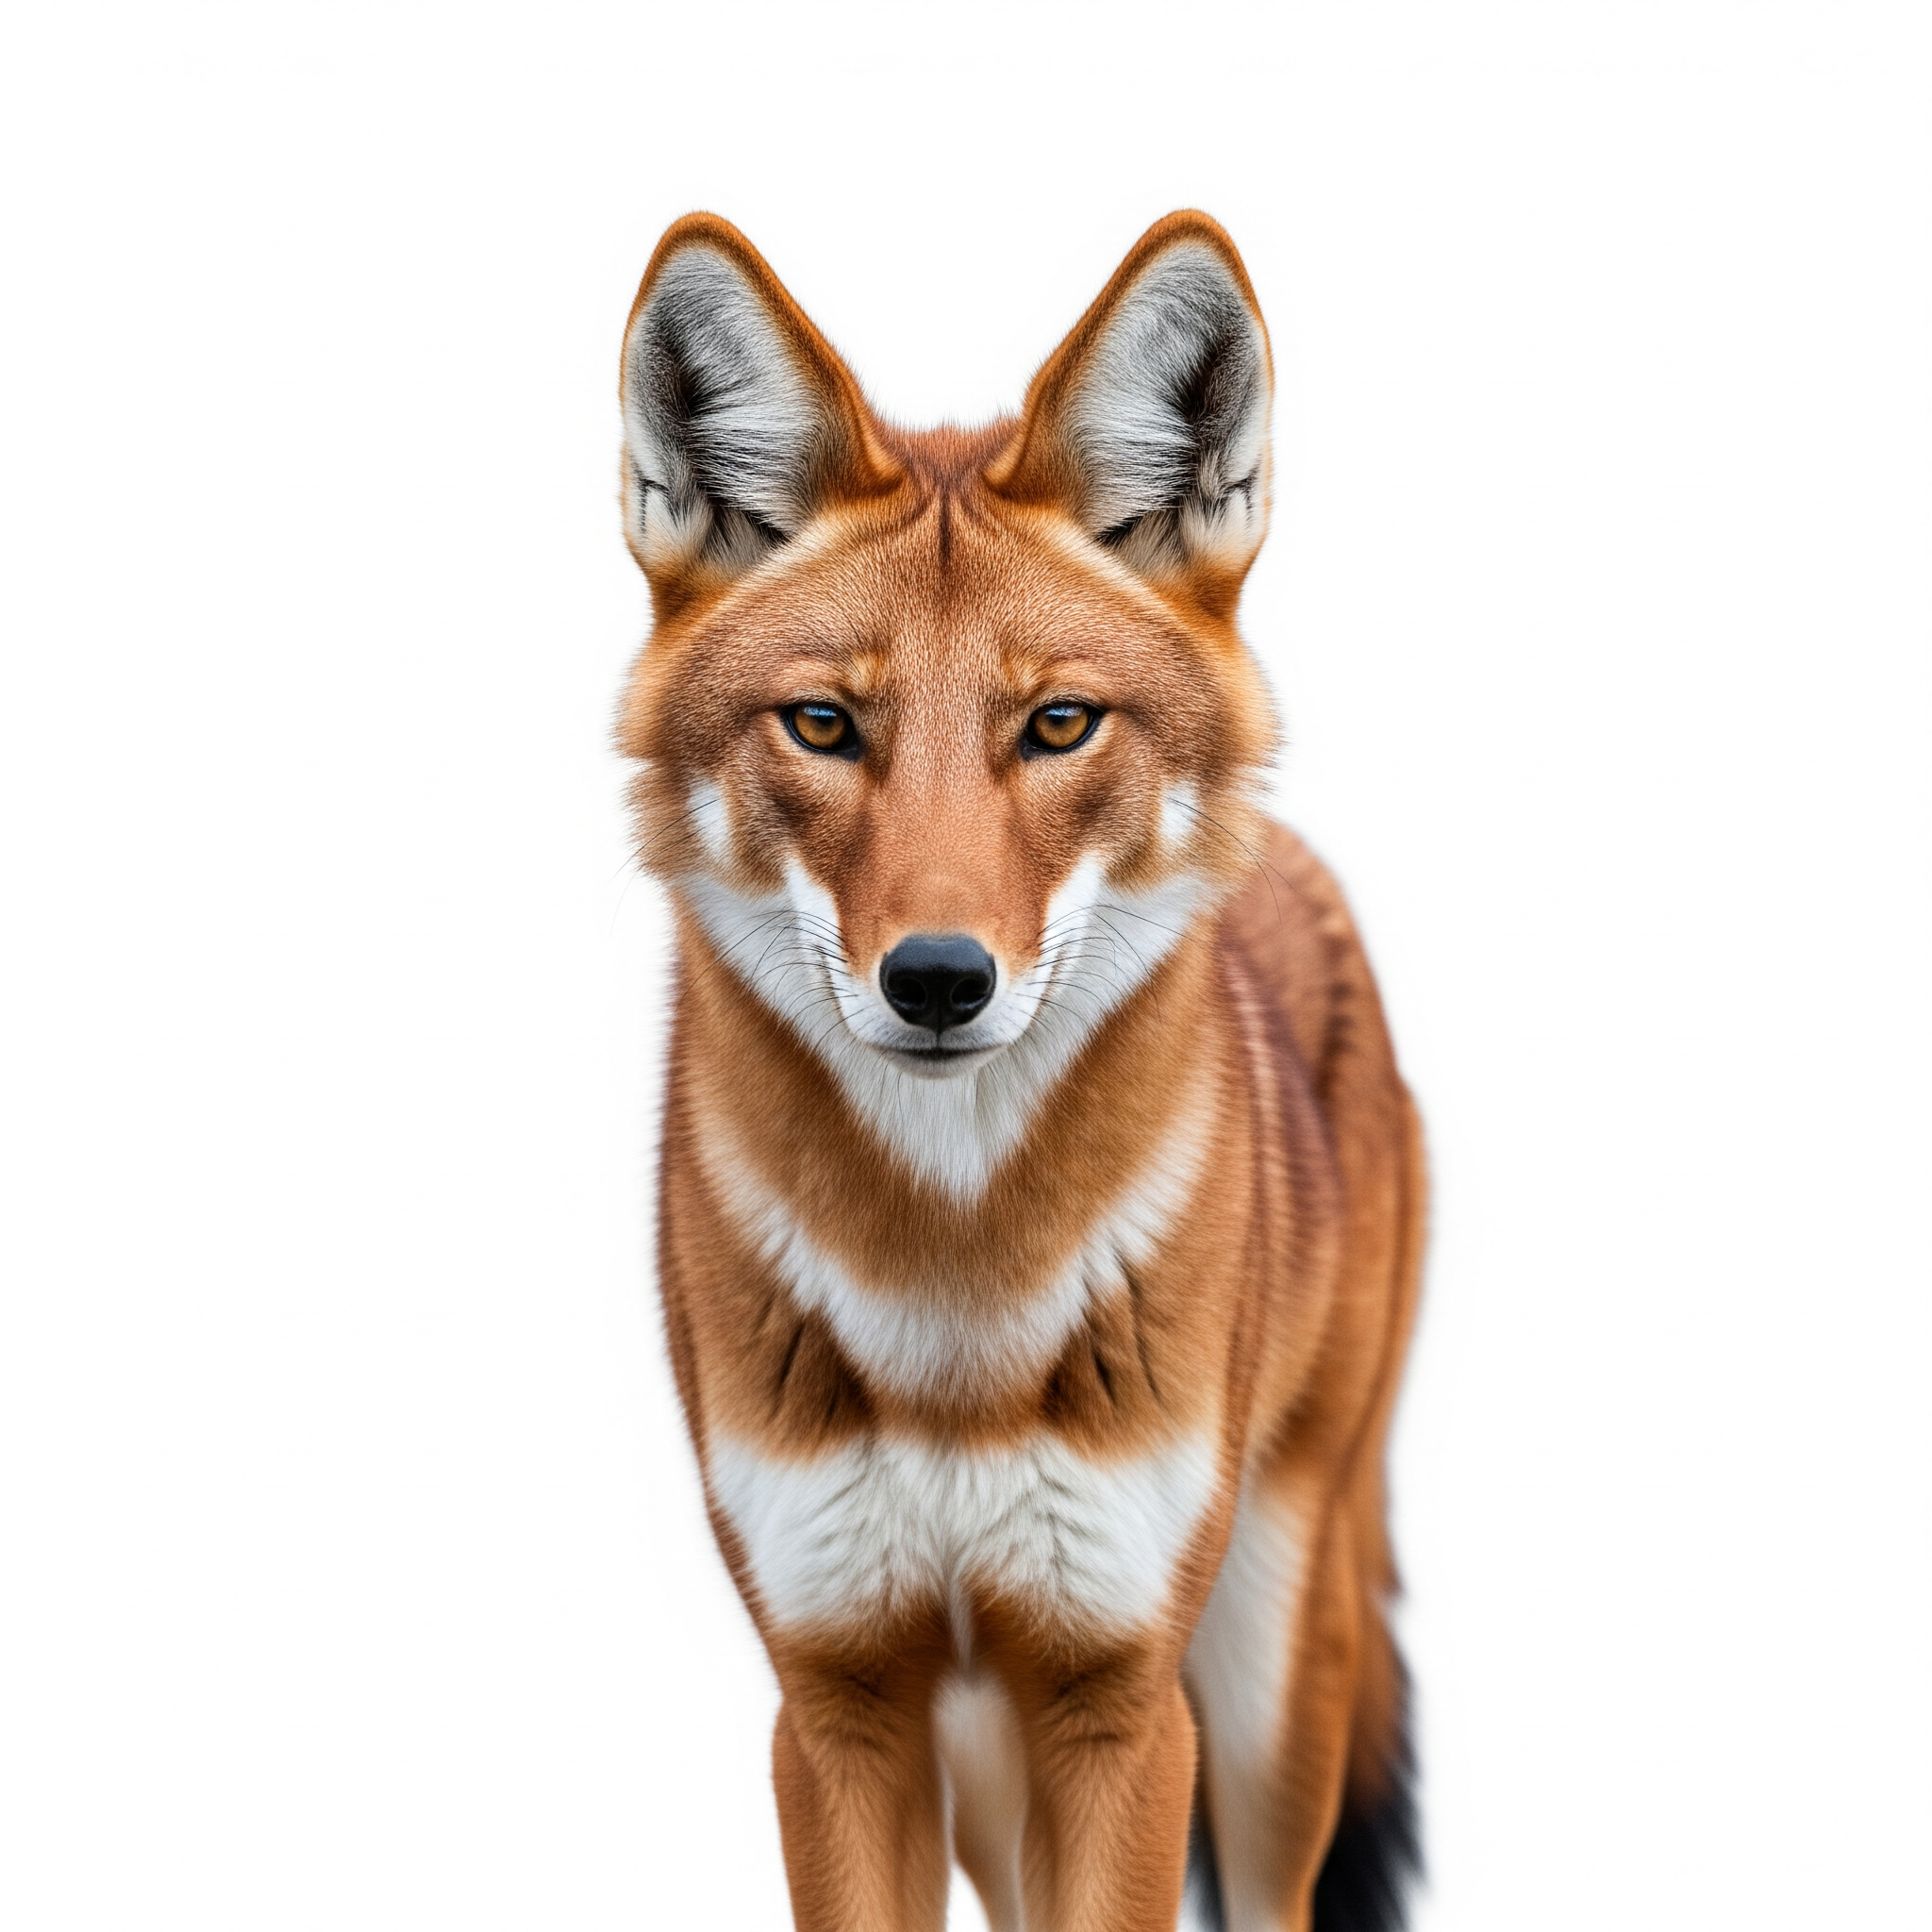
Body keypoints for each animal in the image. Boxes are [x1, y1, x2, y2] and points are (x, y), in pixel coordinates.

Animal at [614, 209, 1424, 1932]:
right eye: (823, 725)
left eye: (1056, 724)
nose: (936, 979)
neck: (954, 1301)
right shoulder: (838, 1705)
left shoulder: (1120, 1701)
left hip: (1270, 1677)